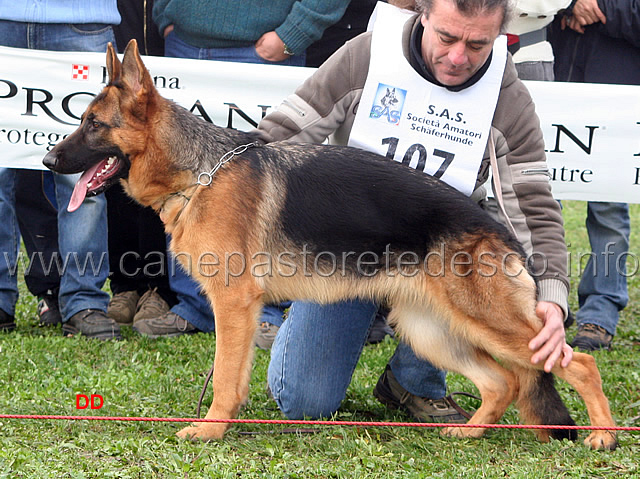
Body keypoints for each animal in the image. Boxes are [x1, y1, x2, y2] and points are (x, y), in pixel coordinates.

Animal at [42, 41, 616, 450]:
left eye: (93, 125)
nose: (48, 161)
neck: (200, 172)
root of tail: (501, 231)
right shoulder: (239, 310)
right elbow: (234, 375)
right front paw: (220, 427)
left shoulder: (233, 305)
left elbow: (225, 378)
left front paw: (209, 430)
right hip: (432, 329)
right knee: (503, 383)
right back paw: (472, 432)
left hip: (489, 322)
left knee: (576, 365)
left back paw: (603, 436)